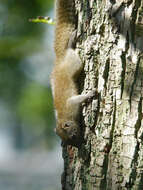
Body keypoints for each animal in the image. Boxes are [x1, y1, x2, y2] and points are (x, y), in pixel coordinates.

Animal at [50, 0, 95, 146]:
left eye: (73, 135)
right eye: (70, 142)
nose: (80, 144)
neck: (63, 117)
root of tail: (59, 58)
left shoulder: (71, 105)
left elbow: (77, 99)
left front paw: (90, 94)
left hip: (74, 63)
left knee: (71, 50)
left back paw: (71, 40)